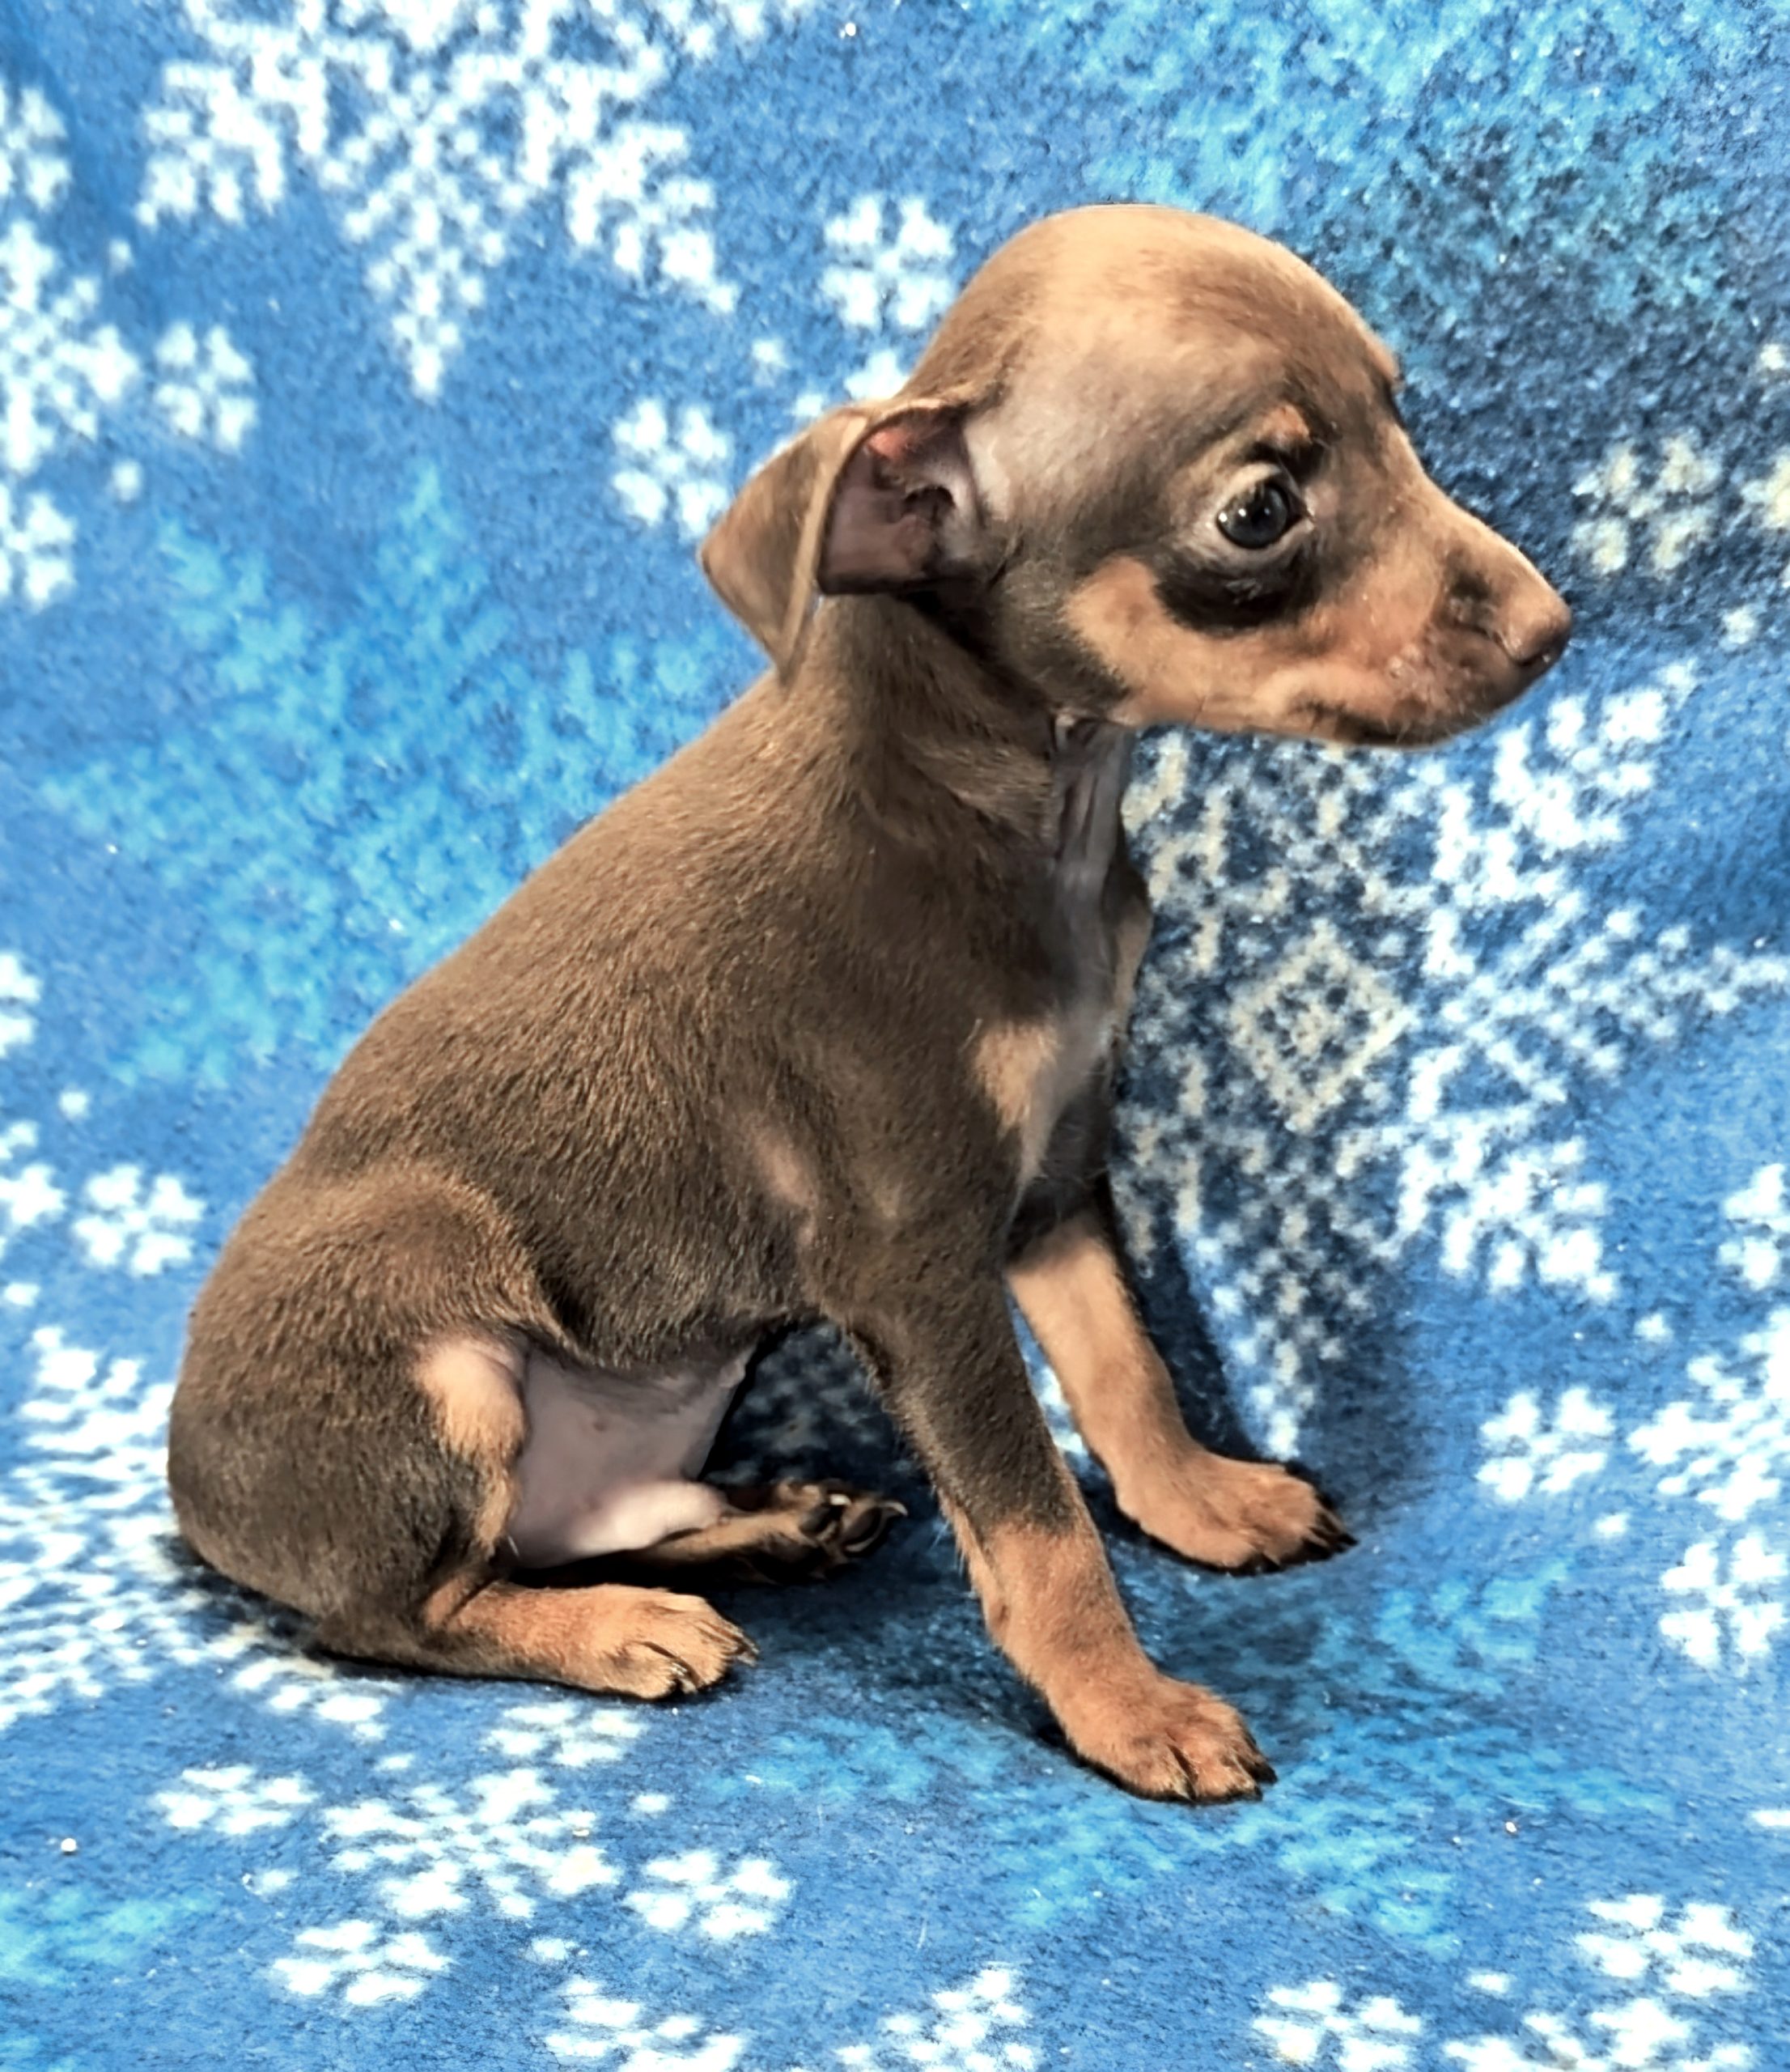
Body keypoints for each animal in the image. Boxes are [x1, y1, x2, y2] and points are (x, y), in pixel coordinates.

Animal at [168, 204, 1570, 1803]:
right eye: (1262, 511)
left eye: (1400, 420)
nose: (1553, 625)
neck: (1012, 817)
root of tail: (191, 1506)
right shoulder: (922, 1274)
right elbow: (1037, 1524)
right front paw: (1126, 1707)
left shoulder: (1051, 1188)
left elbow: (1127, 1374)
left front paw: (1198, 1503)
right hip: (446, 1366)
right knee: (401, 1613)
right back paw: (620, 1628)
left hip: (657, 1400)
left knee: (557, 1526)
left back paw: (775, 1529)